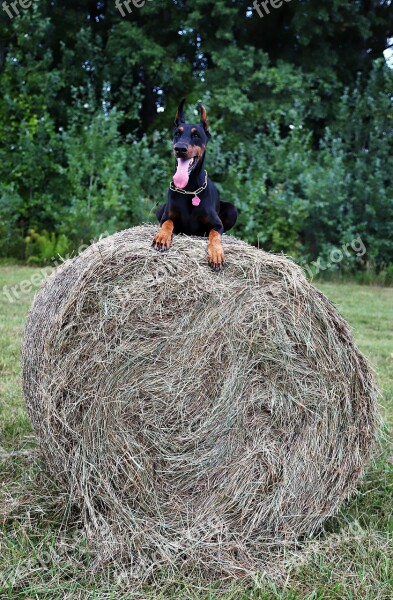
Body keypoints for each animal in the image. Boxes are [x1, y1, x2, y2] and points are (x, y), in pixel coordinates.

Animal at [152, 99, 237, 272]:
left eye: (196, 135)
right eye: (177, 133)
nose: (180, 148)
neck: (190, 189)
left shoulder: (216, 225)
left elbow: (214, 235)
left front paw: (216, 253)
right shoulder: (167, 217)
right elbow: (168, 224)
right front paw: (162, 237)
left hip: (232, 210)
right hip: (160, 208)